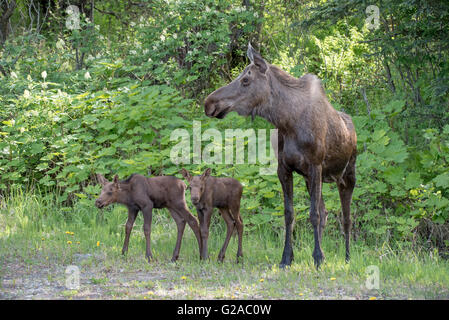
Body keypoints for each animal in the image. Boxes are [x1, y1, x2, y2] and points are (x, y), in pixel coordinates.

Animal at [204, 43, 356, 268]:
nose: (209, 103)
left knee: (346, 218)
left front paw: (318, 258)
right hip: (313, 179)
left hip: (346, 176)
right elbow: (289, 214)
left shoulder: (315, 165)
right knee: (325, 211)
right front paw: (288, 257)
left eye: (246, 80)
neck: (287, 121)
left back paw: (346, 257)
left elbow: (313, 214)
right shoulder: (285, 169)